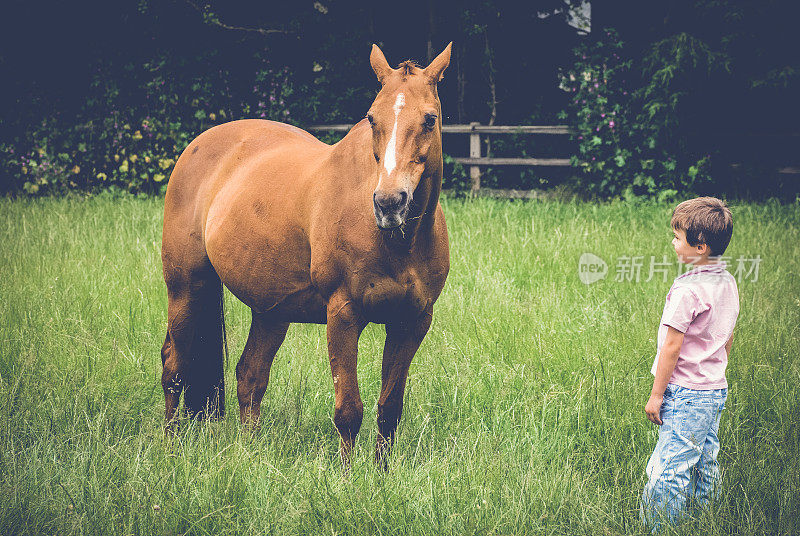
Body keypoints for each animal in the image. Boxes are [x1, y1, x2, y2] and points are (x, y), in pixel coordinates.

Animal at [159, 44, 454, 466]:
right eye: (372, 118)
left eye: (430, 119)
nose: (388, 203)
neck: (398, 242)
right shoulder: (343, 315)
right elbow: (349, 411)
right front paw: (347, 477)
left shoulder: (412, 322)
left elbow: (389, 410)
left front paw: (381, 475)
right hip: (187, 288)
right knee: (174, 368)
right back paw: (168, 447)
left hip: (270, 310)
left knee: (250, 376)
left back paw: (250, 453)